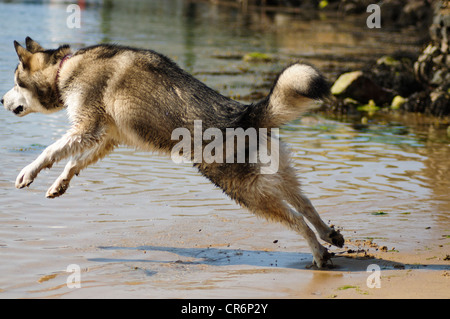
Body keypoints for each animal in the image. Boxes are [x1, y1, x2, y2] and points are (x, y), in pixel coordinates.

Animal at [1, 37, 342, 268]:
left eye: (16, 82)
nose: (2, 100)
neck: (64, 68)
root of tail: (246, 113)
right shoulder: (108, 138)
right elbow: (74, 162)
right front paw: (60, 182)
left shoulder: (87, 128)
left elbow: (51, 151)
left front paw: (29, 171)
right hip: (274, 173)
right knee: (304, 201)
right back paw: (328, 234)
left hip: (242, 188)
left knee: (295, 217)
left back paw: (318, 250)